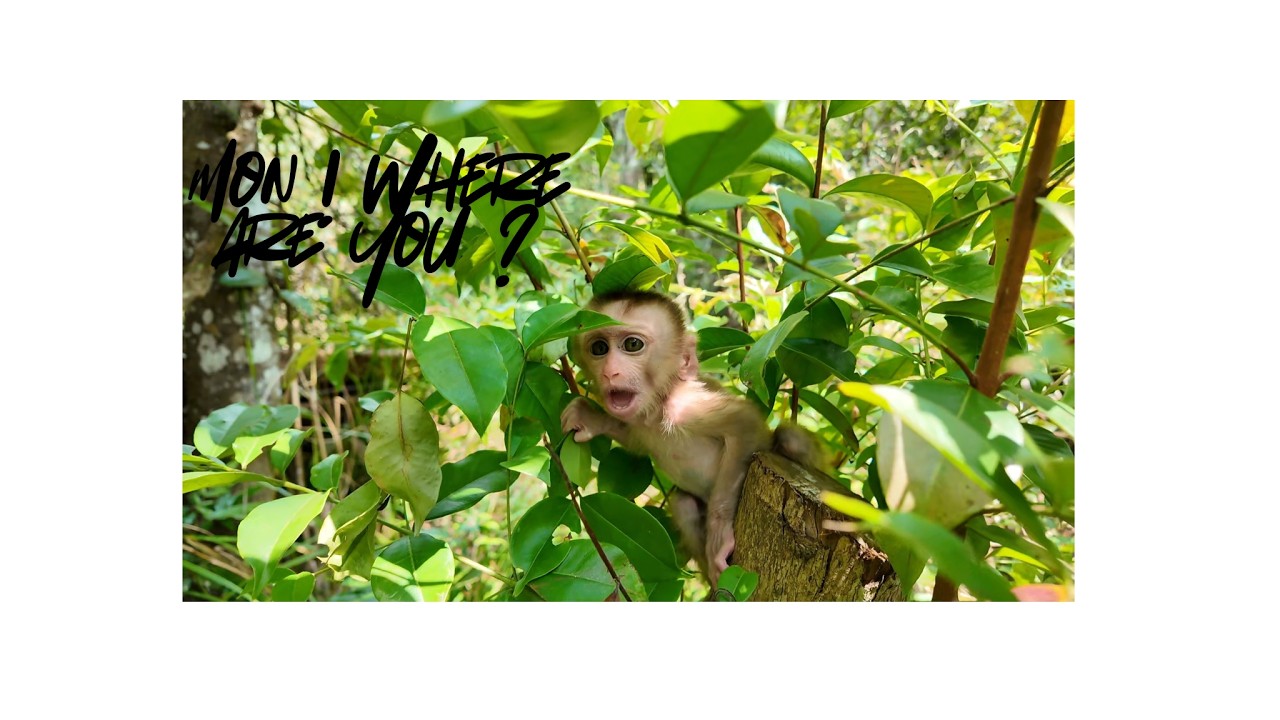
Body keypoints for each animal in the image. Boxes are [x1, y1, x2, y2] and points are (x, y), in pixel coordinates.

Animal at [560, 289, 822, 591]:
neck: (658, 407)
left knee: (790, 439)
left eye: (633, 345)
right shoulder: (639, 423)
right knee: (683, 504)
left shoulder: (688, 407)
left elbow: (743, 425)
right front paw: (591, 418)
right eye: (599, 348)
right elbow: (634, 440)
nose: (609, 371)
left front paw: (719, 534)